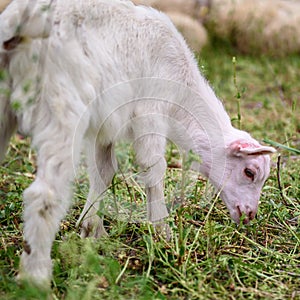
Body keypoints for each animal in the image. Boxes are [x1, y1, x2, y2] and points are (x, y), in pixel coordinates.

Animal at [0, 0, 276, 284]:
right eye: (249, 172)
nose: (250, 215)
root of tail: (23, 19)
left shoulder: (104, 127)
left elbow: (103, 172)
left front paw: (92, 230)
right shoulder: (150, 111)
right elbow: (154, 167)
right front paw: (162, 232)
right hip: (62, 102)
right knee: (43, 193)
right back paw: (35, 277)